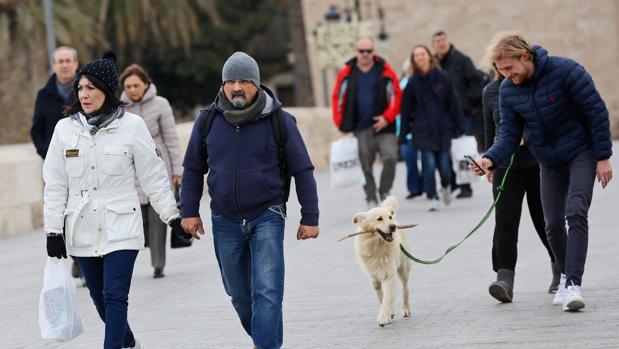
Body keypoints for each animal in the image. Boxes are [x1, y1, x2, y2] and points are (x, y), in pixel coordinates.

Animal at [354, 194, 412, 324]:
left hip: (403, 269)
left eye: (389, 217)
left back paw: (406, 309)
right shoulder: (374, 279)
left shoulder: (389, 274)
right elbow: (381, 298)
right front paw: (388, 314)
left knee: (405, 290)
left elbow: (386, 298)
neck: (378, 247)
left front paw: (383, 318)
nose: (393, 226)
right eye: (379, 219)